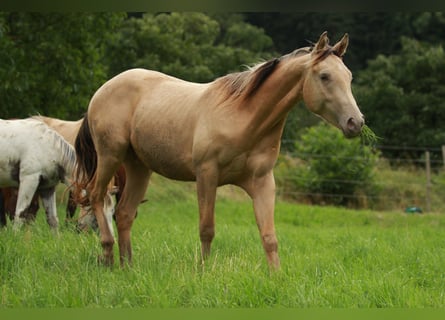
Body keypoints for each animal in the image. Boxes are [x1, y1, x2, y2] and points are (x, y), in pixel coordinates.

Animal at [73, 31, 364, 268]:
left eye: (349, 77)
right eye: (324, 76)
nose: (356, 122)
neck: (242, 117)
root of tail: (102, 91)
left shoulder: (263, 182)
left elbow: (269, 236)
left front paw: (277, 277)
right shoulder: (207, 175)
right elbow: (207, 229)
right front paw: (203, 272)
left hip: (138, 167)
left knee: (124, 214)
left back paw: (128, 267)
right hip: (110, 156)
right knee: (97, 196)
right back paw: (108, 255)